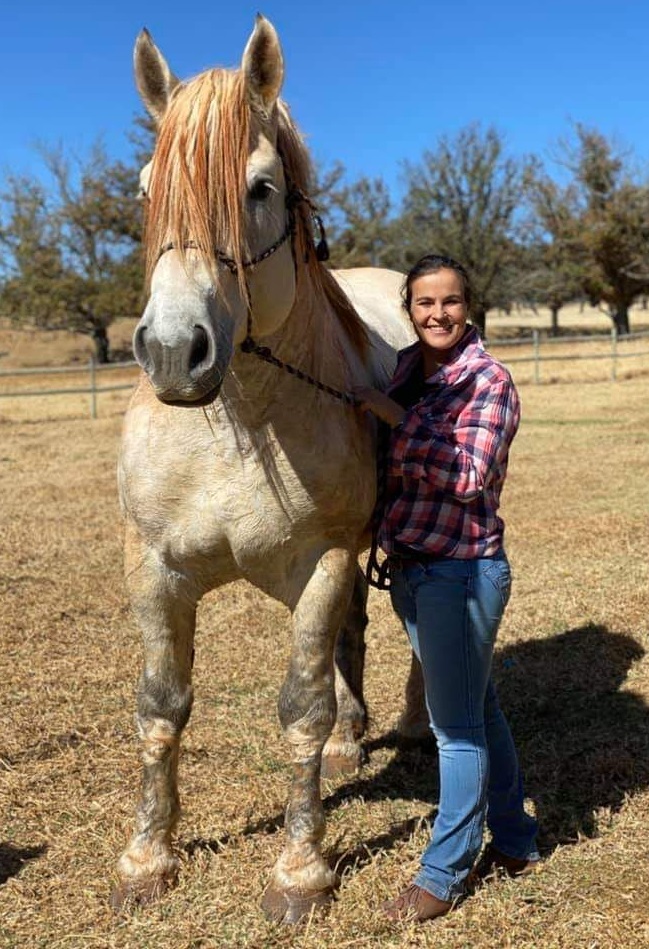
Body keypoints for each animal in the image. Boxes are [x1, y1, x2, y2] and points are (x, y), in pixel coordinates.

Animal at [114, 12, 428, 920]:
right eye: (147, 189)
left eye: (257, 189)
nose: (173, 352)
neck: (235, 424)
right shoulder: (152, 567)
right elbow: (160, 706)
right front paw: (147, 859)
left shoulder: (320, 562)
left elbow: (300, 709)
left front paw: (298, 871)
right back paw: (356, 739)